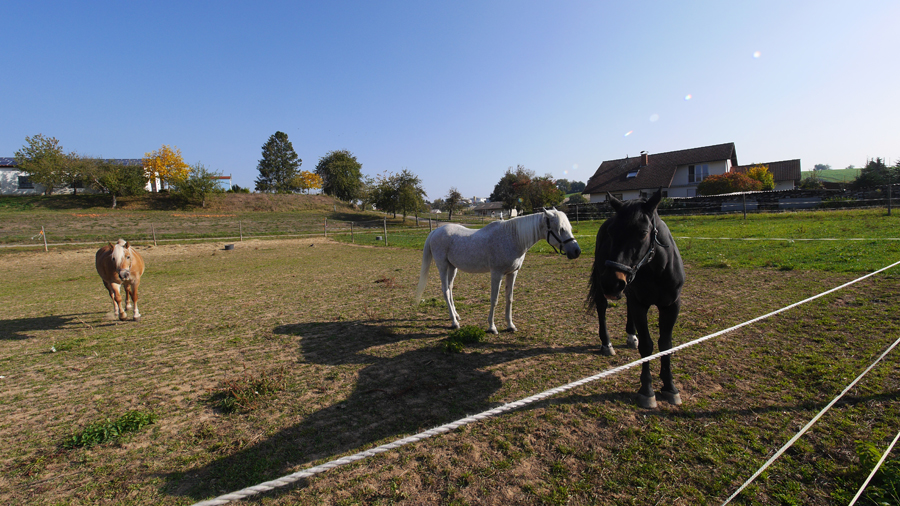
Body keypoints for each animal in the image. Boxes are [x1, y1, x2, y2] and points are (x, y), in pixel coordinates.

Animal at [415, 208, 581, 334]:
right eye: (560, 229)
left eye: (570, 228)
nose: (576, 251)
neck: (513, 238)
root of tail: (435, 231)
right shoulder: (496, 274)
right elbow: (494, 299)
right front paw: (492, 327)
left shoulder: (512, 273)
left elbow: (509, 298)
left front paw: (510, 325)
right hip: (442, 266)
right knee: (445, 290)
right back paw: (454, 323)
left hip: (452, 267)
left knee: (449, 289)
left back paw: (455, 315)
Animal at [587, 189, 685, 408]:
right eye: (611, 233)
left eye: (642, 232)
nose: (611, 282)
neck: (657, 270)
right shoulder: (640, 303)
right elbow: (647, 346)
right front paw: (647, 391)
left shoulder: (671, 306)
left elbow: (666, 345)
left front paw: (669, 387)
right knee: (602, 308)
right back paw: (607, 344)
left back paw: (631, 336)